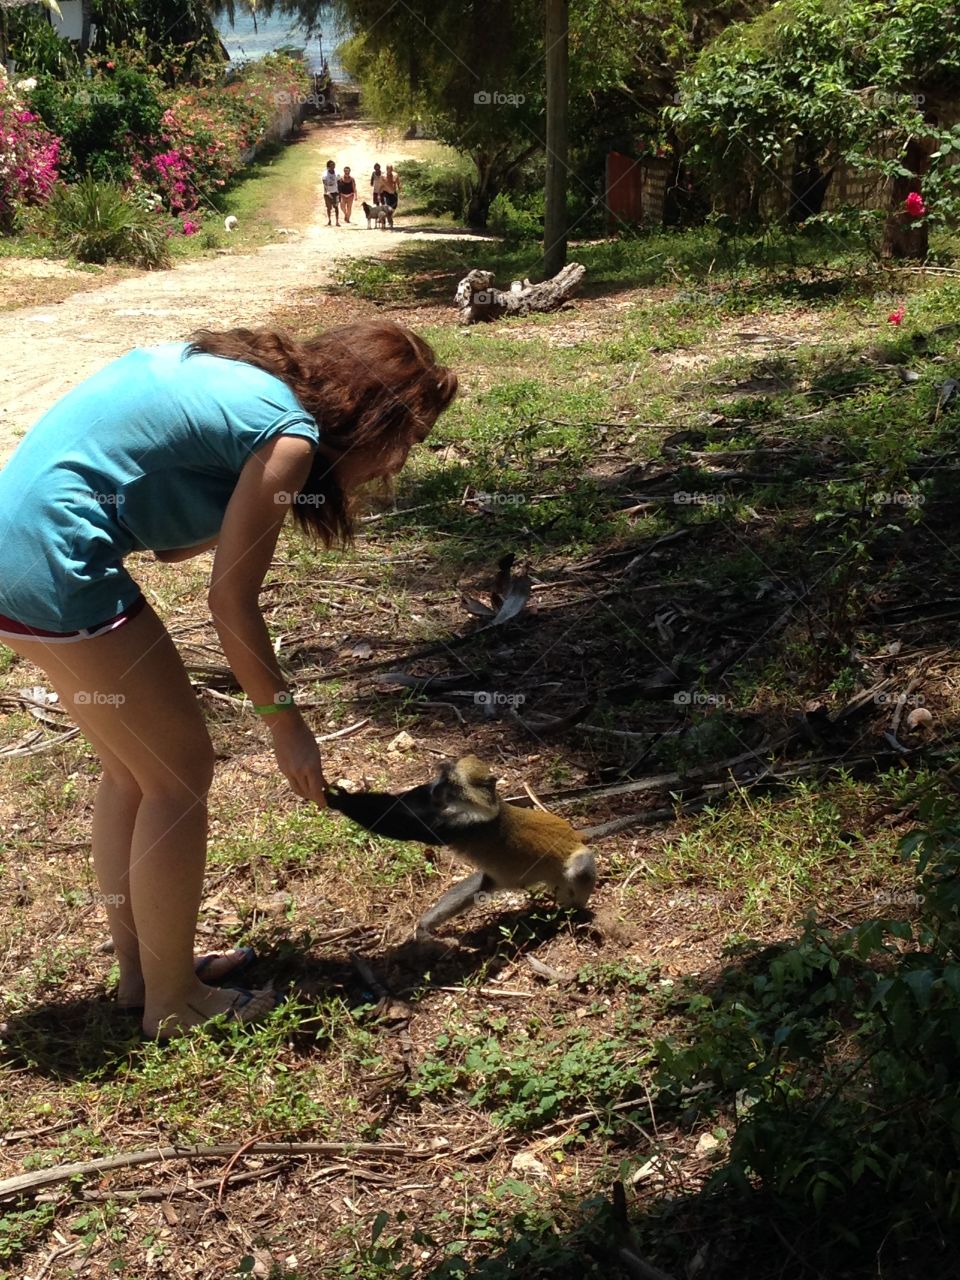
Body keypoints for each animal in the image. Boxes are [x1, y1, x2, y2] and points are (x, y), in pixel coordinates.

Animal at [325, 755, 597, 938]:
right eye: (441, 779)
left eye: (451, 784)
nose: (435, 788)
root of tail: (576, 836)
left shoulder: (464, 824)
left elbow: (405, 826)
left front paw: (340, 800)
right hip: (499, 879)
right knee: (474, 888)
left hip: (571, 868)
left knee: (581, 869)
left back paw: (573, 913)